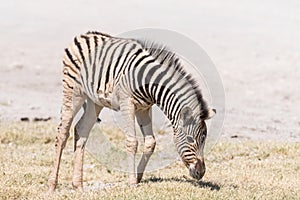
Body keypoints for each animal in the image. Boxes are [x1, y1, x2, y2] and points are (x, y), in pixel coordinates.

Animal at [47, 30, 216, 192]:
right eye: (190, 140)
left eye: (204, 139)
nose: (201, 173)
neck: (149, 84)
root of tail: (83, 35)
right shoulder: (127, 103)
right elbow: (132, 142)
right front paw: (132, 182)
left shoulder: (144, 108)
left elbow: (151, 142)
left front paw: (138, 176)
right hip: (72, 91)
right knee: (62, 133)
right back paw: (52, 186)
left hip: (95, 101)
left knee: (81, 130)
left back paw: (78, 186)